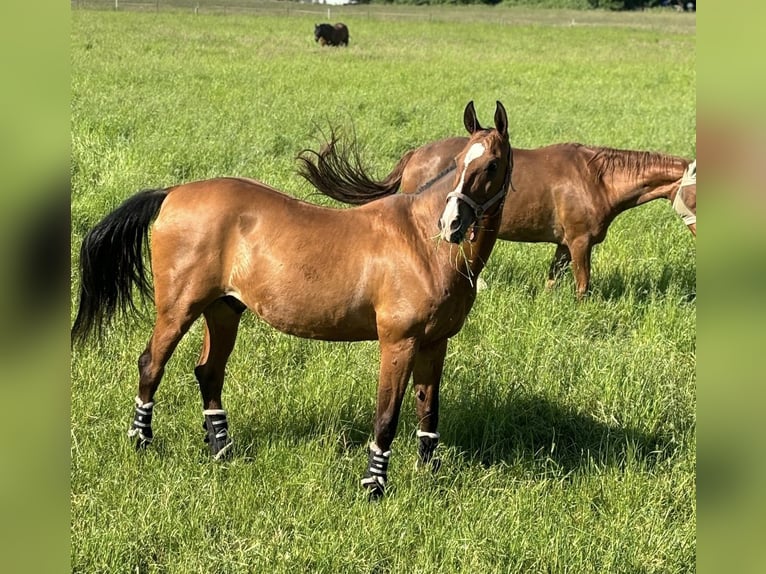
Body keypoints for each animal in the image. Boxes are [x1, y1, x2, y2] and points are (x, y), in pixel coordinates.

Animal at [71, 101, 513, 499]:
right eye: (458, 161)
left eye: (491, 165)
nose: (452, 223)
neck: (421, 242)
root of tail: (173, 191)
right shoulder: (398, 342)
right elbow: (387, 416)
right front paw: (374, 486)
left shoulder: (435, 343)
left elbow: (428, 409)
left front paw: (429, 474)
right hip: (179, 308)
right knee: (151, 363)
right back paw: (141, 440)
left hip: (223, 310)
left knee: (209, 372)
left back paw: (222, 450)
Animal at [301, 135, 695, 298]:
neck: (594, 178)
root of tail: (415, 154)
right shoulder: (580, 242)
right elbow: (584, 287)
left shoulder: (564, 244)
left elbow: (552, 280)